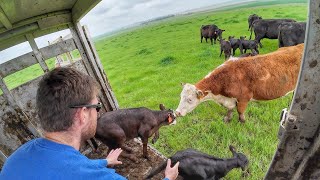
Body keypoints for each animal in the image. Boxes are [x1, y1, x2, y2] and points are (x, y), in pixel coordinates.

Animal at [176, 43, 304, 123]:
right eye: (181, 97)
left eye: (190, 100)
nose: (177, 112)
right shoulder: (229, 100)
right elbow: (230, 111)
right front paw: (227, 120)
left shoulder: (243, 98)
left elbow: (240, 112)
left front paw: (242, 122)